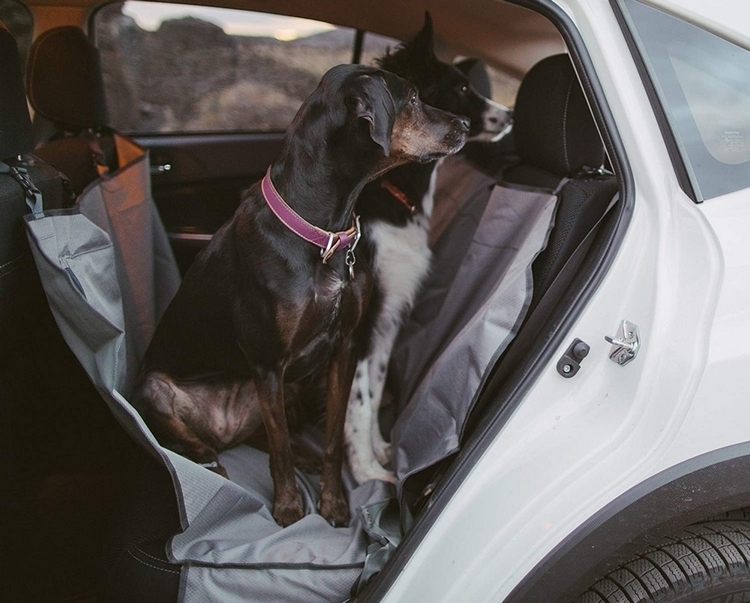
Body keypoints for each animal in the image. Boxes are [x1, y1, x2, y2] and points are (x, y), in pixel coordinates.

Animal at [132, 63, 468, 528]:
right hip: (159, 387)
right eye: (414, 98)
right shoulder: (269, 362)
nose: (465, 125)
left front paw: (334, 503)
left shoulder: (343, 349)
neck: (321, 232)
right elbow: (278, 452)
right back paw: (206, 454)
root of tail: (223, 426)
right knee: (226, 438)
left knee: (263, 434)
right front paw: (289, 508)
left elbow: (332, 438)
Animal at [346, 15, 512, 486]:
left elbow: (373, 389)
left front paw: (378, 450)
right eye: (461, 87)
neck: (391, 190)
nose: (511, 114)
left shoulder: (389, 314)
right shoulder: (364, 317)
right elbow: (357, 400)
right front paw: (365, 471)